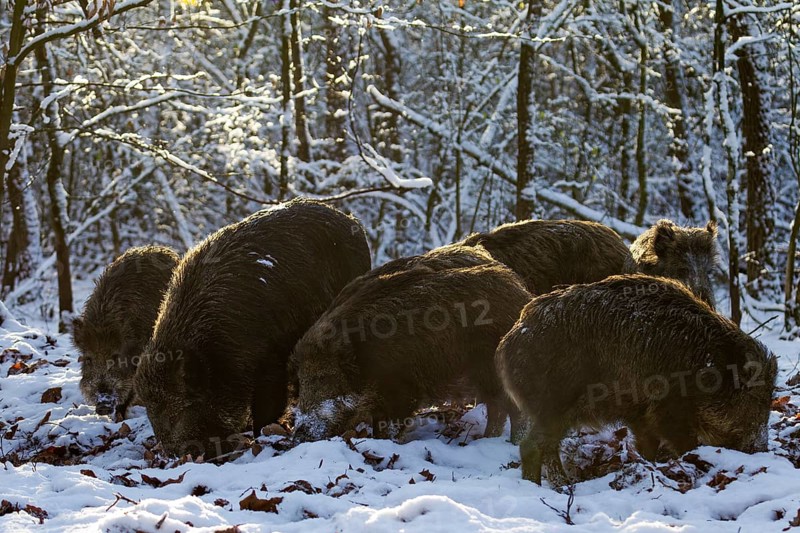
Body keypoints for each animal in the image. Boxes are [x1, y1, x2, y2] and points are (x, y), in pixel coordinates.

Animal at [496, 274, 777, 486]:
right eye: (757, 399)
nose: (761, 448)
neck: (708, 368)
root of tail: (508, 343)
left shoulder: (640, 414)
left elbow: (646, 447)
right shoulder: (669, 410)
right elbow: (684, 444)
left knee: (546, 447)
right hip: (553, 403)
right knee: (532, 446)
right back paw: (556, 487)